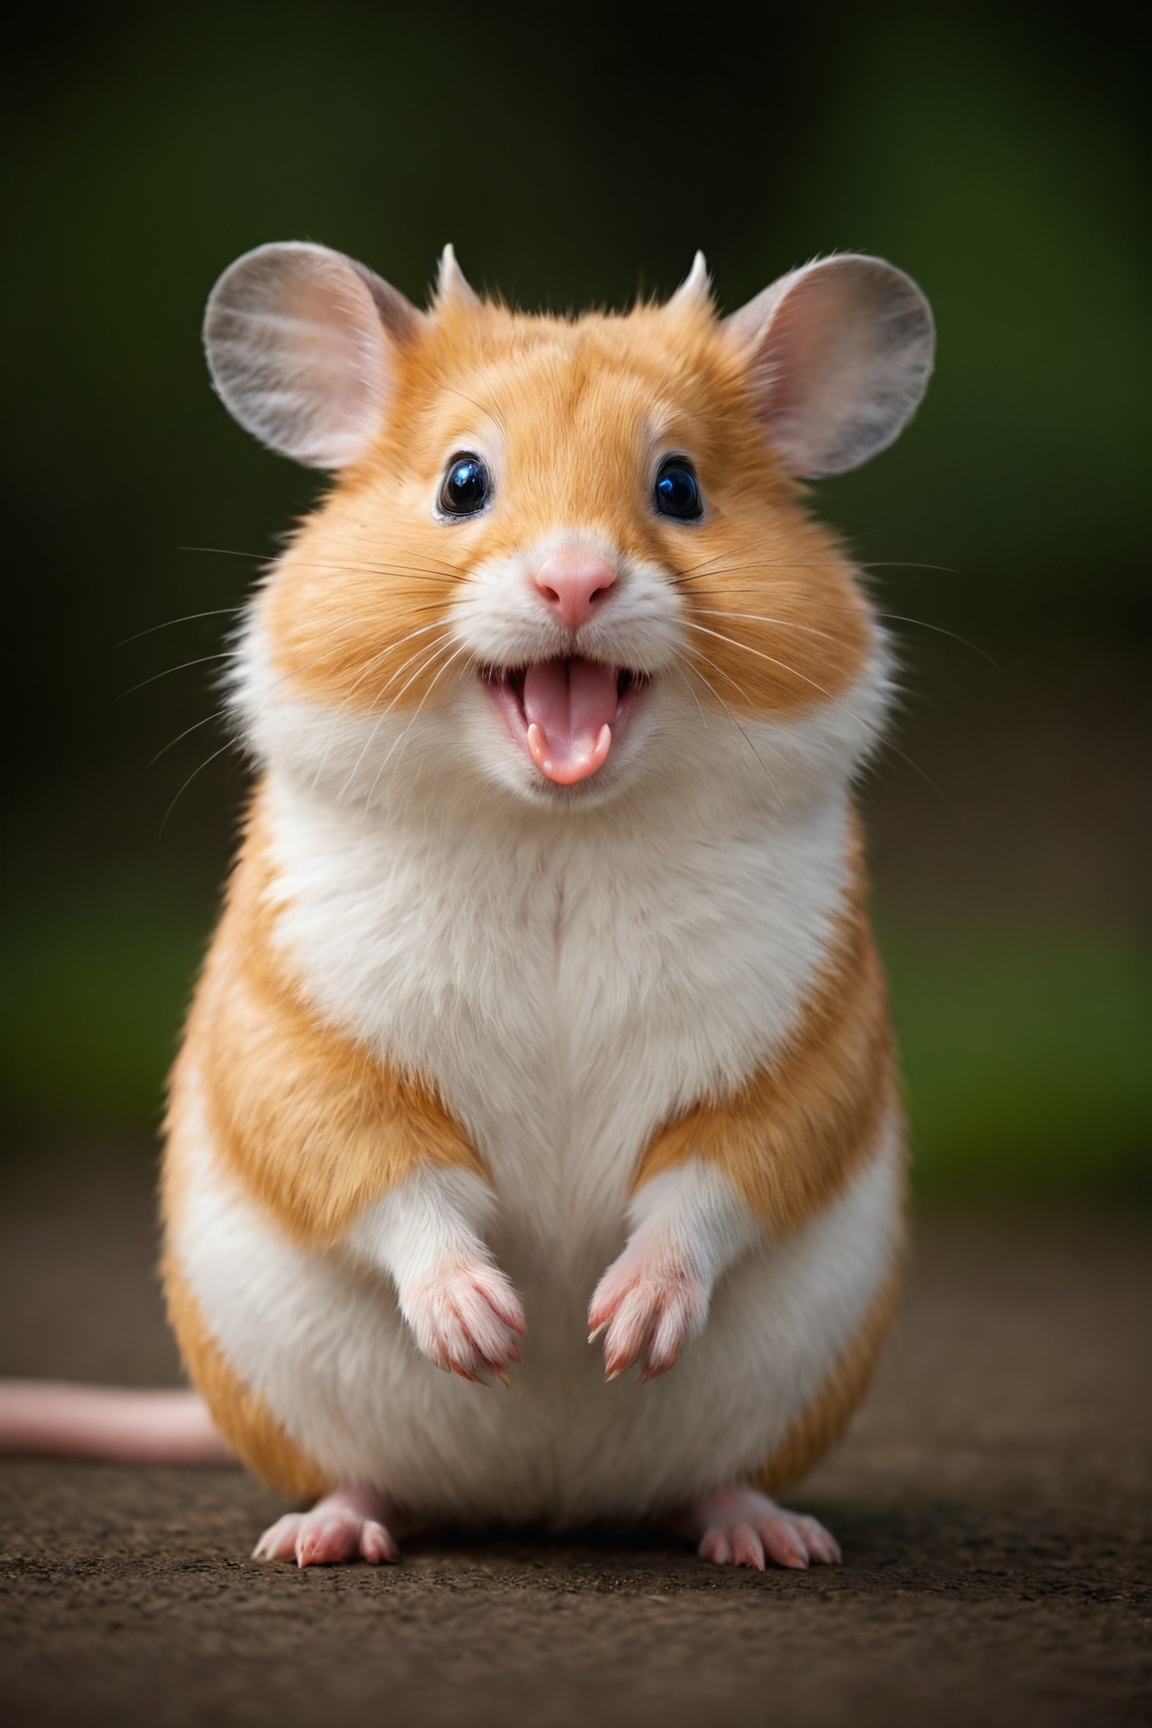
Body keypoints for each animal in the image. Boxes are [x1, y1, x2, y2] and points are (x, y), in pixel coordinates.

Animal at [156, 239, 934, 1571]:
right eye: (462, 481)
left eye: (680, 487)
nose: (576, 581)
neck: (557, 832)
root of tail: (544, 1503)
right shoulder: (301, 1032)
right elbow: (386, 1170)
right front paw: (491, 1331)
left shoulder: (803, 1045)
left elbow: (716, 1176)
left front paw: (620, 1329)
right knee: (367, 1479)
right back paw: (325, 1535)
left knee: (708, 1483)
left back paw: (768, 1536)